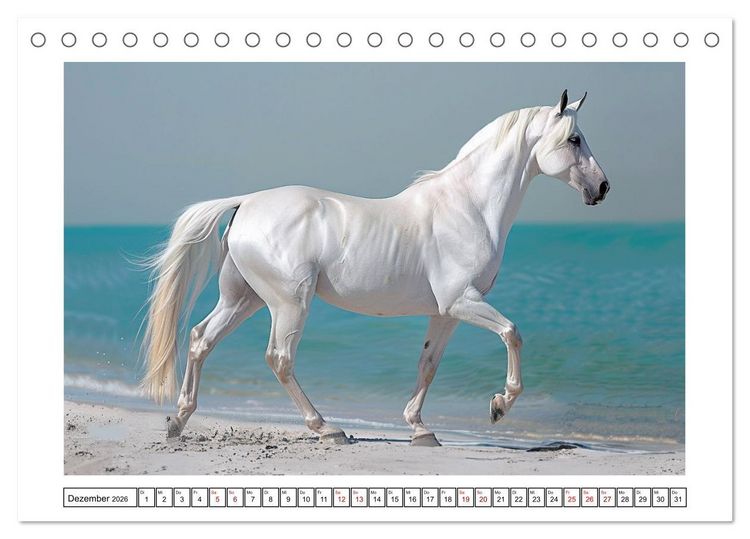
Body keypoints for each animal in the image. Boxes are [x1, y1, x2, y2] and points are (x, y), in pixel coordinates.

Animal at [141, 90, 610, 446]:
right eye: (573, 139)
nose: (602, 187)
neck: (468, 206)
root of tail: (246, 203)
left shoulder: (446, 312)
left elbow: (428, 364)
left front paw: (420, 430)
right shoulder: (462, 301)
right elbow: (512, 333)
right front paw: (499, 405)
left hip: (245, 298)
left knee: (201, 339)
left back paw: (178, 420)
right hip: (289, 303)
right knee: (279, 358)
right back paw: (327, 428)